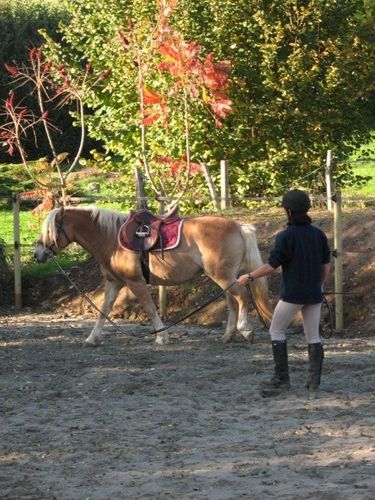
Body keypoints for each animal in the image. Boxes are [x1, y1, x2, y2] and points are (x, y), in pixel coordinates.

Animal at [33, 205, 272, 346]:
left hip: (223, 276)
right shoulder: (114, 283)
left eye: (50, 231)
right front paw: (92, 338)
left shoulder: (135, 283)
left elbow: (149, 308)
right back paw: (228, 335)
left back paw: (245, 330)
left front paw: (161, 336)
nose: (37, 255)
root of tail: (240, 226)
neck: (111, 238)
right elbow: (104, 310)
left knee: (241, 297)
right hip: (225, 277)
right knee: (233, 302)